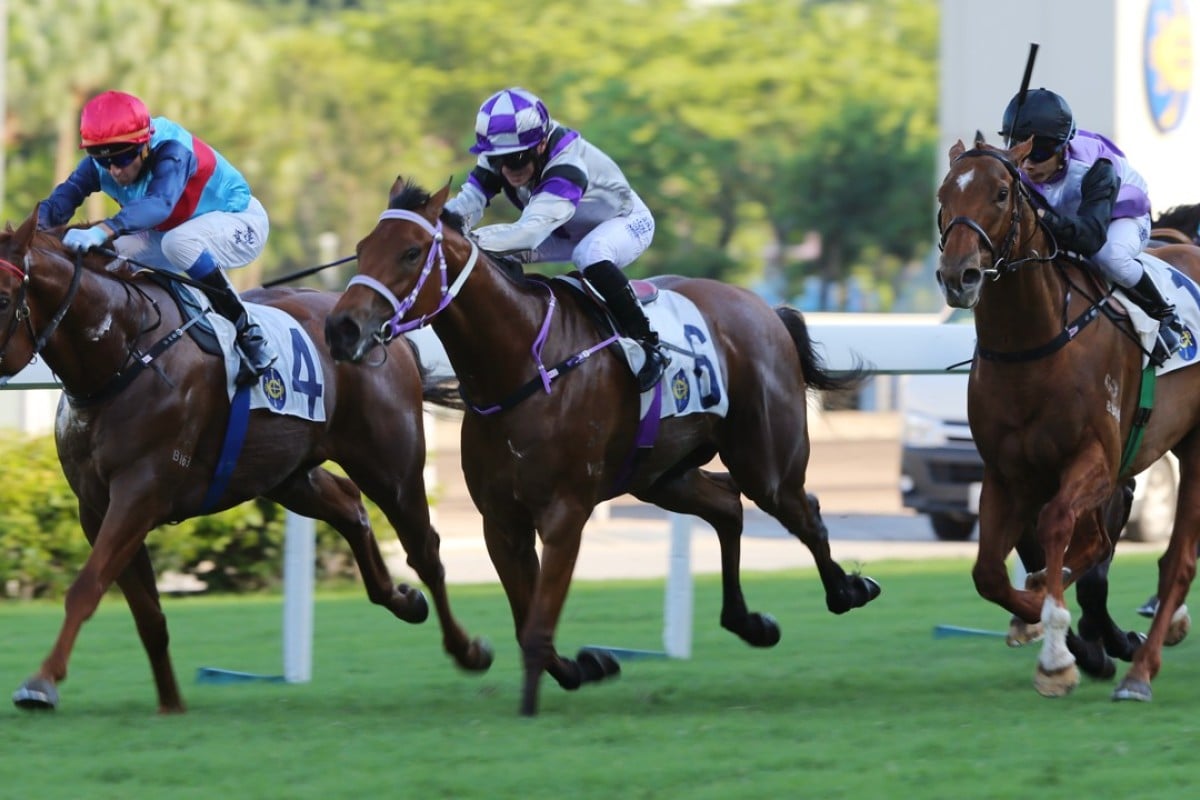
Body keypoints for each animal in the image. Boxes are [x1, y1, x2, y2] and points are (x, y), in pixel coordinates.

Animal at [0, 208, 492, 714]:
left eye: (2, 296)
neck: (124, 348)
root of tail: (382, 328)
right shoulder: (94, 506)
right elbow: (146, 612)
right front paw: (171, 703)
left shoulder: (141, 491)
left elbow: (86, 586)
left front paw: (40, 682)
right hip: (283, 471)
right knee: (348, 504)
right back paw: (403, 599)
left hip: (390, 464)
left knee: (424, 548)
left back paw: (468, 649)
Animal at [326, 178, 883, 714]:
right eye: (361, 248)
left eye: (411, 252)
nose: (340, 328)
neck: (523, 365)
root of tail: (765, 309)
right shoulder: (501, 520)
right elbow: (527, 620)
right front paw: (584, 666)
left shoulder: (564, 513)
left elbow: (537, 623)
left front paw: (537, 696)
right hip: (660, 475)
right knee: (727, 505)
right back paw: (750, 621)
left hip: (765, 462)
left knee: (803, 512)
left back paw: (847, 589)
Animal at [936, 136, 1200, 700]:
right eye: (944, 194)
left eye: (1000, 192)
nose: (957, 276)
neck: (1032, 346)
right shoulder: (1006, 472)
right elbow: (990, 573)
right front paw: (1039, 616)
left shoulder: (1097, 460)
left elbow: (1059, 526)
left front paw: (1057, 655)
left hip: (1195, 447)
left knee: (1178, 562)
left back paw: (1140, 672)